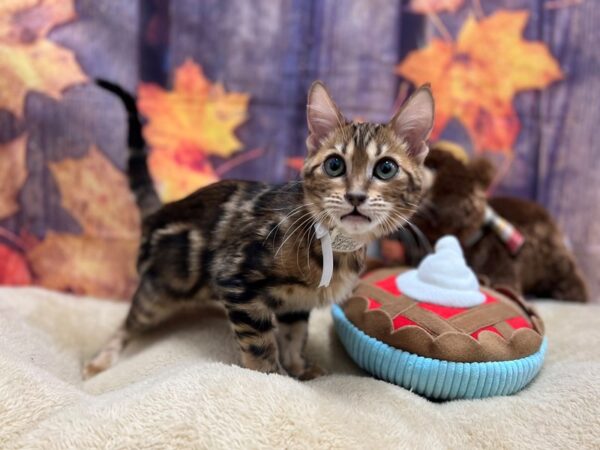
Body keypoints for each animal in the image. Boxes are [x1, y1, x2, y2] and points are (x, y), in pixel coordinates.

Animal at [83, 81, 432, 380]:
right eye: (334, 165)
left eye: (386, 168)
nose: (355, 196)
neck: (333, 245)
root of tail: (159, 211)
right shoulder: (236, 281)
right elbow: (260, 345)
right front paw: (271, 377)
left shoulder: (297, 303)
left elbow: (294, 337)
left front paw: (299, 369)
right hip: (159, 289)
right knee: (128, 322)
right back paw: (100, 361)